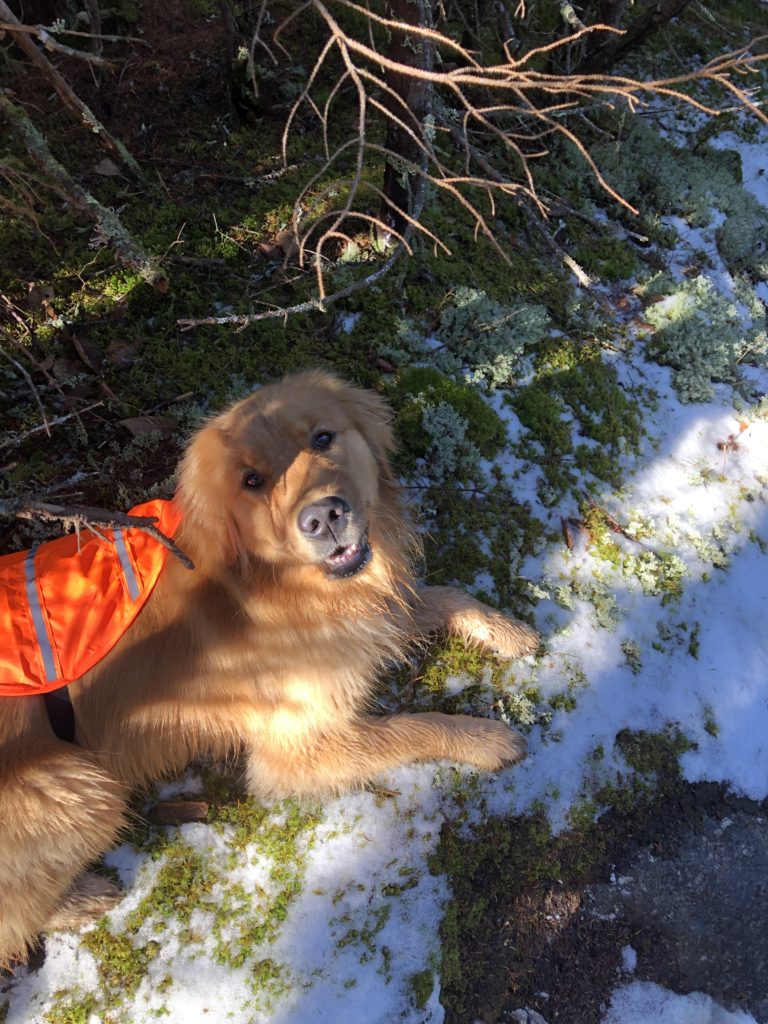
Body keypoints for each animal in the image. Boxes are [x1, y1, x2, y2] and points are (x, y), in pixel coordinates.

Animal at [0, 372, 540, 962]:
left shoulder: (362, 622)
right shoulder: (295, 749)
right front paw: (486, 739)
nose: (323, 517)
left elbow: (441, 597)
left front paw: (506, 630)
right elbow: (415, 727)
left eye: (323, 438)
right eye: (252, 481)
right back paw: (82, 898)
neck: (274, 587)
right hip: (81, 786)